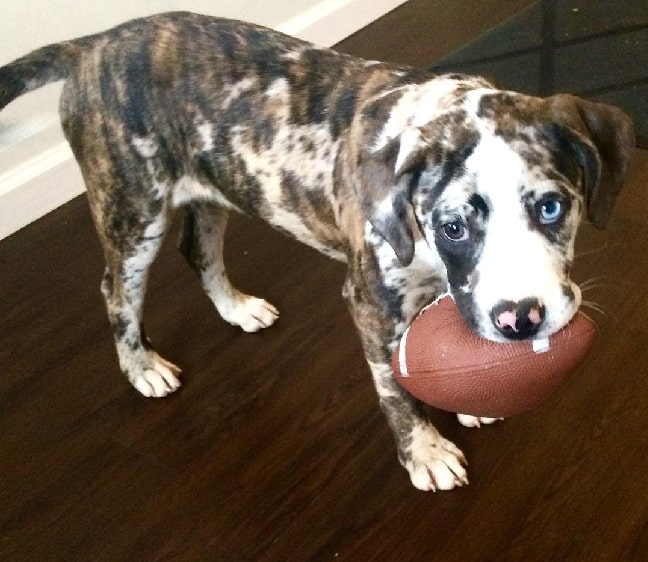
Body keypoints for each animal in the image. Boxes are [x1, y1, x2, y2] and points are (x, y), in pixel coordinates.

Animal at [0, 10, 636, 488]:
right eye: (453, 226)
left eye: (552, 207)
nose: (521, 320)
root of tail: (94, 45)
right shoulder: (372, 305)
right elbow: (395, 389)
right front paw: (424, 452)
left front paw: (472, 396)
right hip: (134, 211)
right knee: (116, 289)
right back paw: (142, 367)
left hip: (217, 184)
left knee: (198, 249)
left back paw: (236, 308)